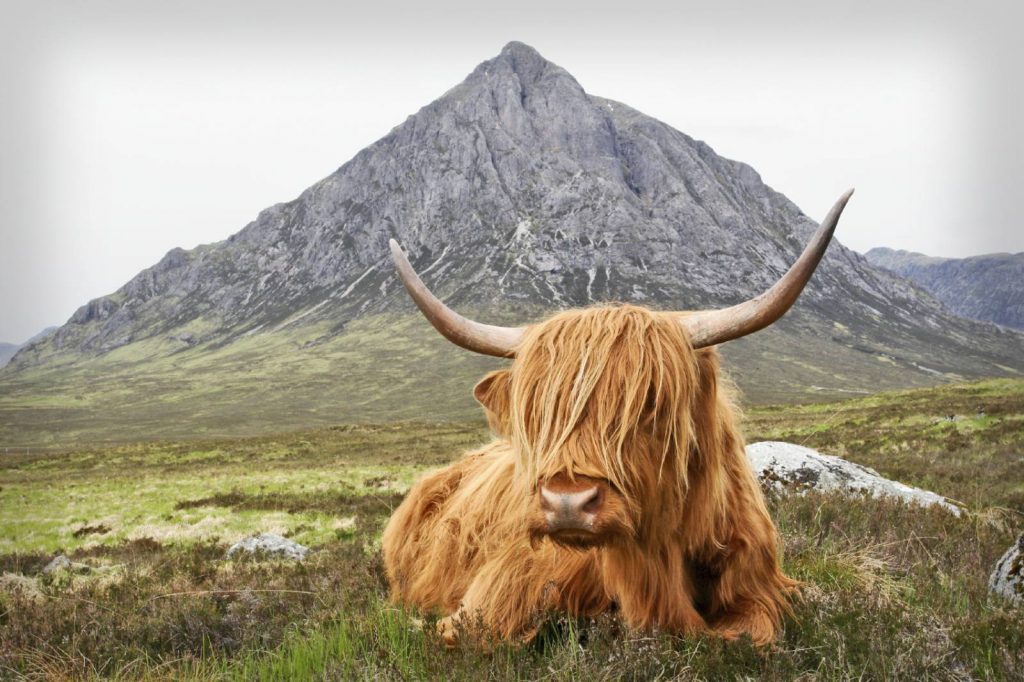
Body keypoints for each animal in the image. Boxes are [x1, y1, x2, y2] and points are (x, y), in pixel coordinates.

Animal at [382, 190, 854, 646]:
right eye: (536, 412)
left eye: (651, 402)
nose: (567, 503)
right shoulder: (498, 590)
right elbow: (479, 633)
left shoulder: (760, 587)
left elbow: (748, 636)